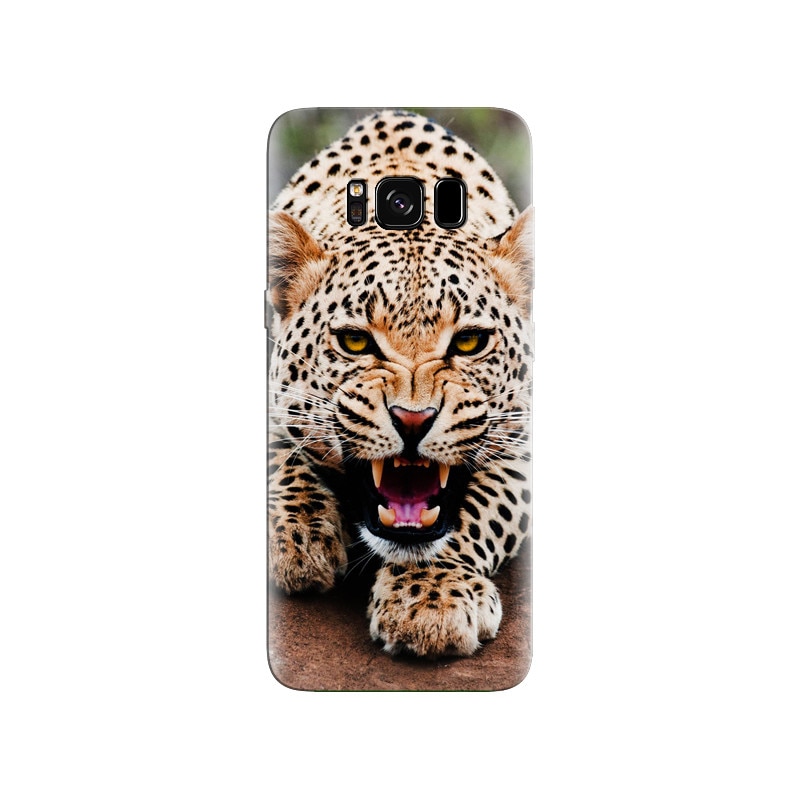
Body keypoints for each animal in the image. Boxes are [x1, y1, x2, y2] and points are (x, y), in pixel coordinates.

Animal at [268, 109, 532, 658]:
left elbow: (482, 509)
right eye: (354, 342)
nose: (413, 419)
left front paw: (431, 599)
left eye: (470, 342)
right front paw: (298, 539)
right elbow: (279, 454)